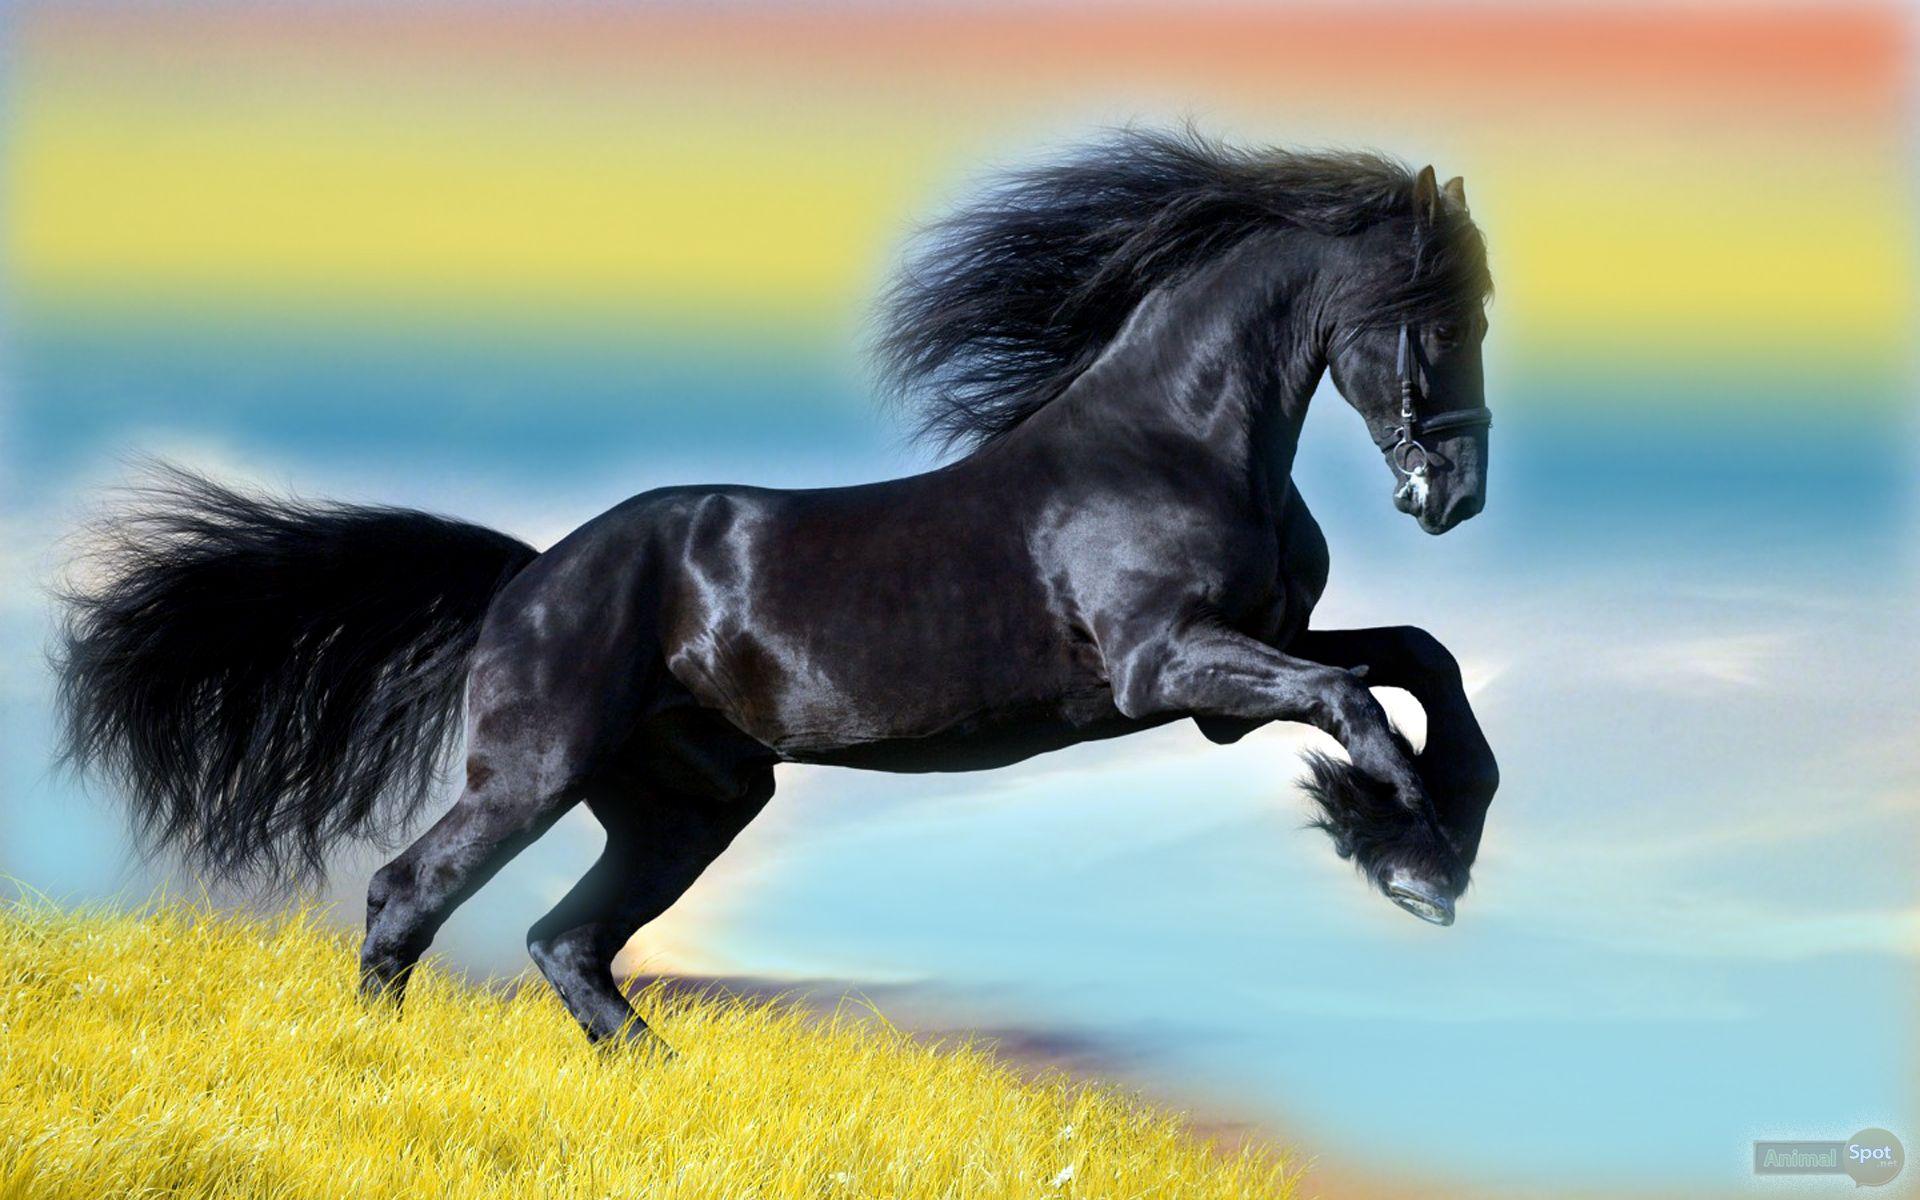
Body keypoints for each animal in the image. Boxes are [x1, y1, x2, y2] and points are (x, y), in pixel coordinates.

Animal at [57, 128, 1499, 1048]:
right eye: (1439, 313)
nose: (1457, 495)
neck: (1174, 442)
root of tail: (531, 578)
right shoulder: (1168, 669)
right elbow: (1357, 703)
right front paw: (1409, 858)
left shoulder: (1242, 662)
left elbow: (1418, 659)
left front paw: (1431, 834)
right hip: (536, 772)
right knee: (410, 896)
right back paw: (380, 1061)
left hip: (689, 800)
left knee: (567, 942)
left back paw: (657, 1079)